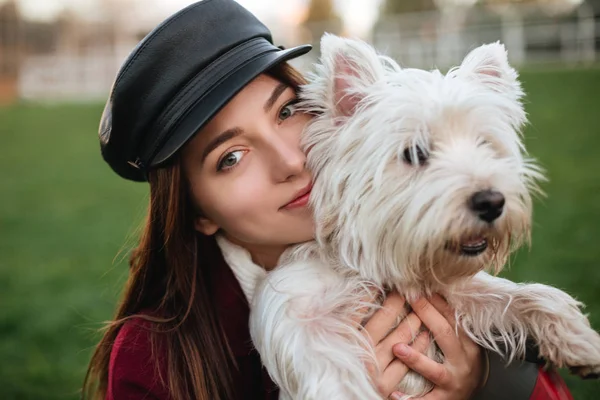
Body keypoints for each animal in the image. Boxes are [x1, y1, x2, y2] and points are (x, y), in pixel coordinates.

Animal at [216, 35, 600, 400]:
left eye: (485, 145)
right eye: (415, 153)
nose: (492, 202)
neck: (371, 265)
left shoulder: (450, 293)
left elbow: (523, 295)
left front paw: (581, 342)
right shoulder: (299, 318)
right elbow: (335, 376)